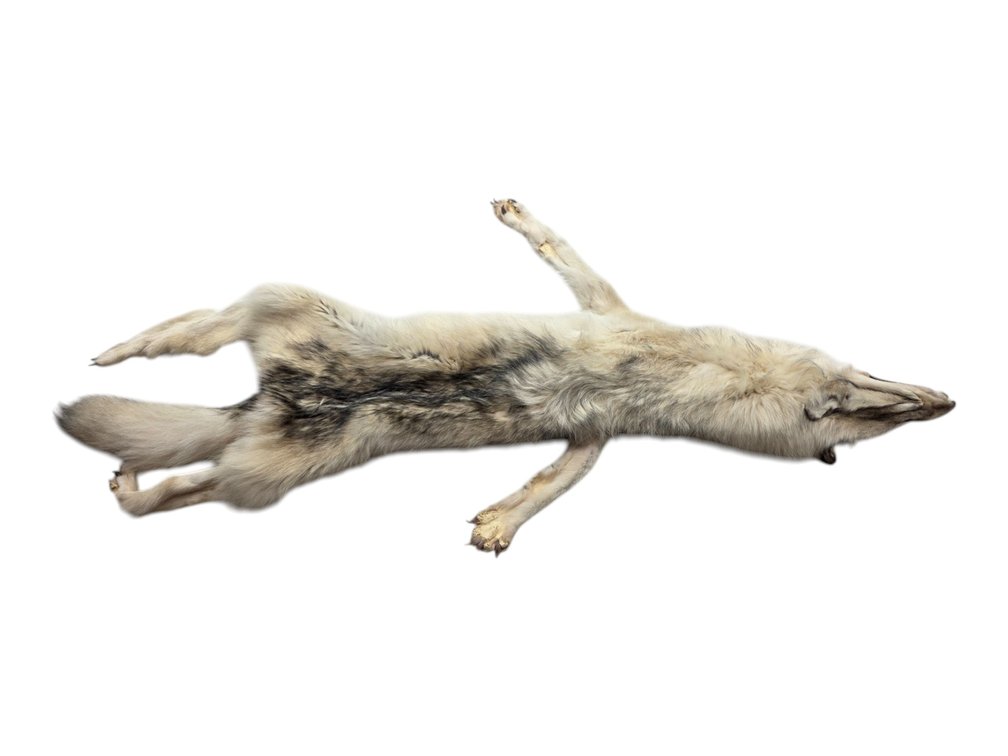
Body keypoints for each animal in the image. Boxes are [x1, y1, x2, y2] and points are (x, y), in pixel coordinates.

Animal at [57, 199, 955, 554]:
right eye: (854, 394)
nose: (944, 399)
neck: (695, 369)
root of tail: (274, 396)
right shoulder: (607, 309)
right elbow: (561, 247)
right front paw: (518, 215)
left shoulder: (596, 434)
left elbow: (552, 483)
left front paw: (499, 522)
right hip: (284, 323)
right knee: (189, 339)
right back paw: (114, 363)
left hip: (265, 455)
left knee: (180, 470)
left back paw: (126, 460)